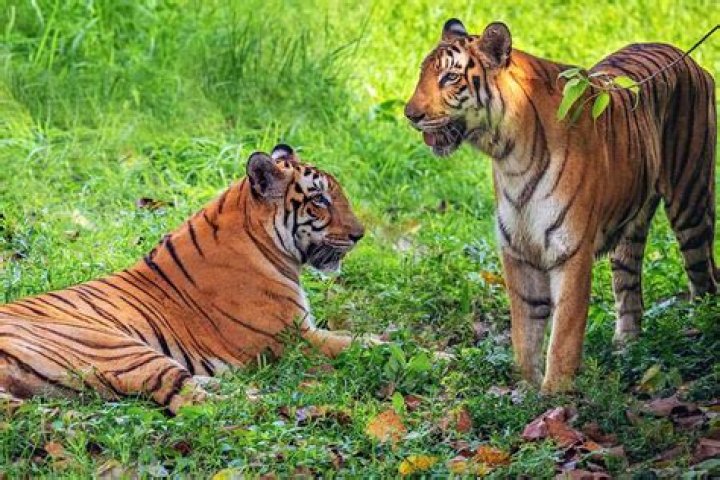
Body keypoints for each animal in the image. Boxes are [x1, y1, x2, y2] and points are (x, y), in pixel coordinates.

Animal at [0, 144, 369, 413]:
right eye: (319, 199)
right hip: (120, 350)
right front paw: (381, 347)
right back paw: (264, 401)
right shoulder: (295, 338)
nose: (360, 234)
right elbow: (354, 342)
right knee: (194, 403)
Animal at [405, 19, 717, 393]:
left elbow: (564, 332)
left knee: (703, 279)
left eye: (450, 77)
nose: (410, 115)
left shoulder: (571, 251)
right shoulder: (518, 252)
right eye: (423, 73)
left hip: (691, 204)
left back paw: (698, 336)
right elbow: (525, 330)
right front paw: (526, 389)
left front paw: (555, 393)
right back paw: (626, 349)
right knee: (629, 290)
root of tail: (685, 57)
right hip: (630, 230)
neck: (509, 156)